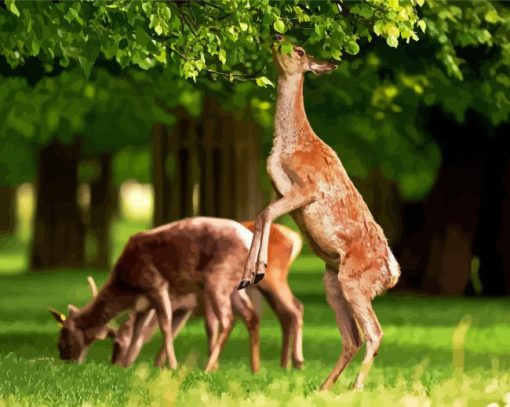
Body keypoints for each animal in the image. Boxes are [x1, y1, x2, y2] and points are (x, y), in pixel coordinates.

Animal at [49, 218, 260, 372]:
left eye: (63, 337)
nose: (66, 361)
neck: (127, 288)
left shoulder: (156, 283)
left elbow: (165, 325)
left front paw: (172, 367)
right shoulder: (144, 304)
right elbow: (138, 333)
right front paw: (127, 367)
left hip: (217, 278)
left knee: (227, 319)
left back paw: (208, 367)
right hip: (233, 285)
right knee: (250, 315)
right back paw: (255, 369)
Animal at [103, 222, 302, 372]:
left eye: (117, 344)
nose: (117, 365)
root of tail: (294, 237)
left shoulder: (199, 296)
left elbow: (210, 326)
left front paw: (211, 366)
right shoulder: (185, 307)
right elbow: (174, 329)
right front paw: (159, 363)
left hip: (272, 277)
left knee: (295, 307)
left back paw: (297, 361)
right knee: (282, 315)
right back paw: (283, 364)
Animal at [239, 35, 402, 392]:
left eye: (299, 50)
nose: (276, 36)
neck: (290, 146)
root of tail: (393, 274)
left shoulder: (307, 188)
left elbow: (265, 214)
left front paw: (256, 272)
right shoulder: (282, 192)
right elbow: (262, 213)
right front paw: (249, 274)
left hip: (355, 281)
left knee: (374, 332)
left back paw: (355, 388)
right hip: (333, 280)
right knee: (353, 337)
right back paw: (325, 387)